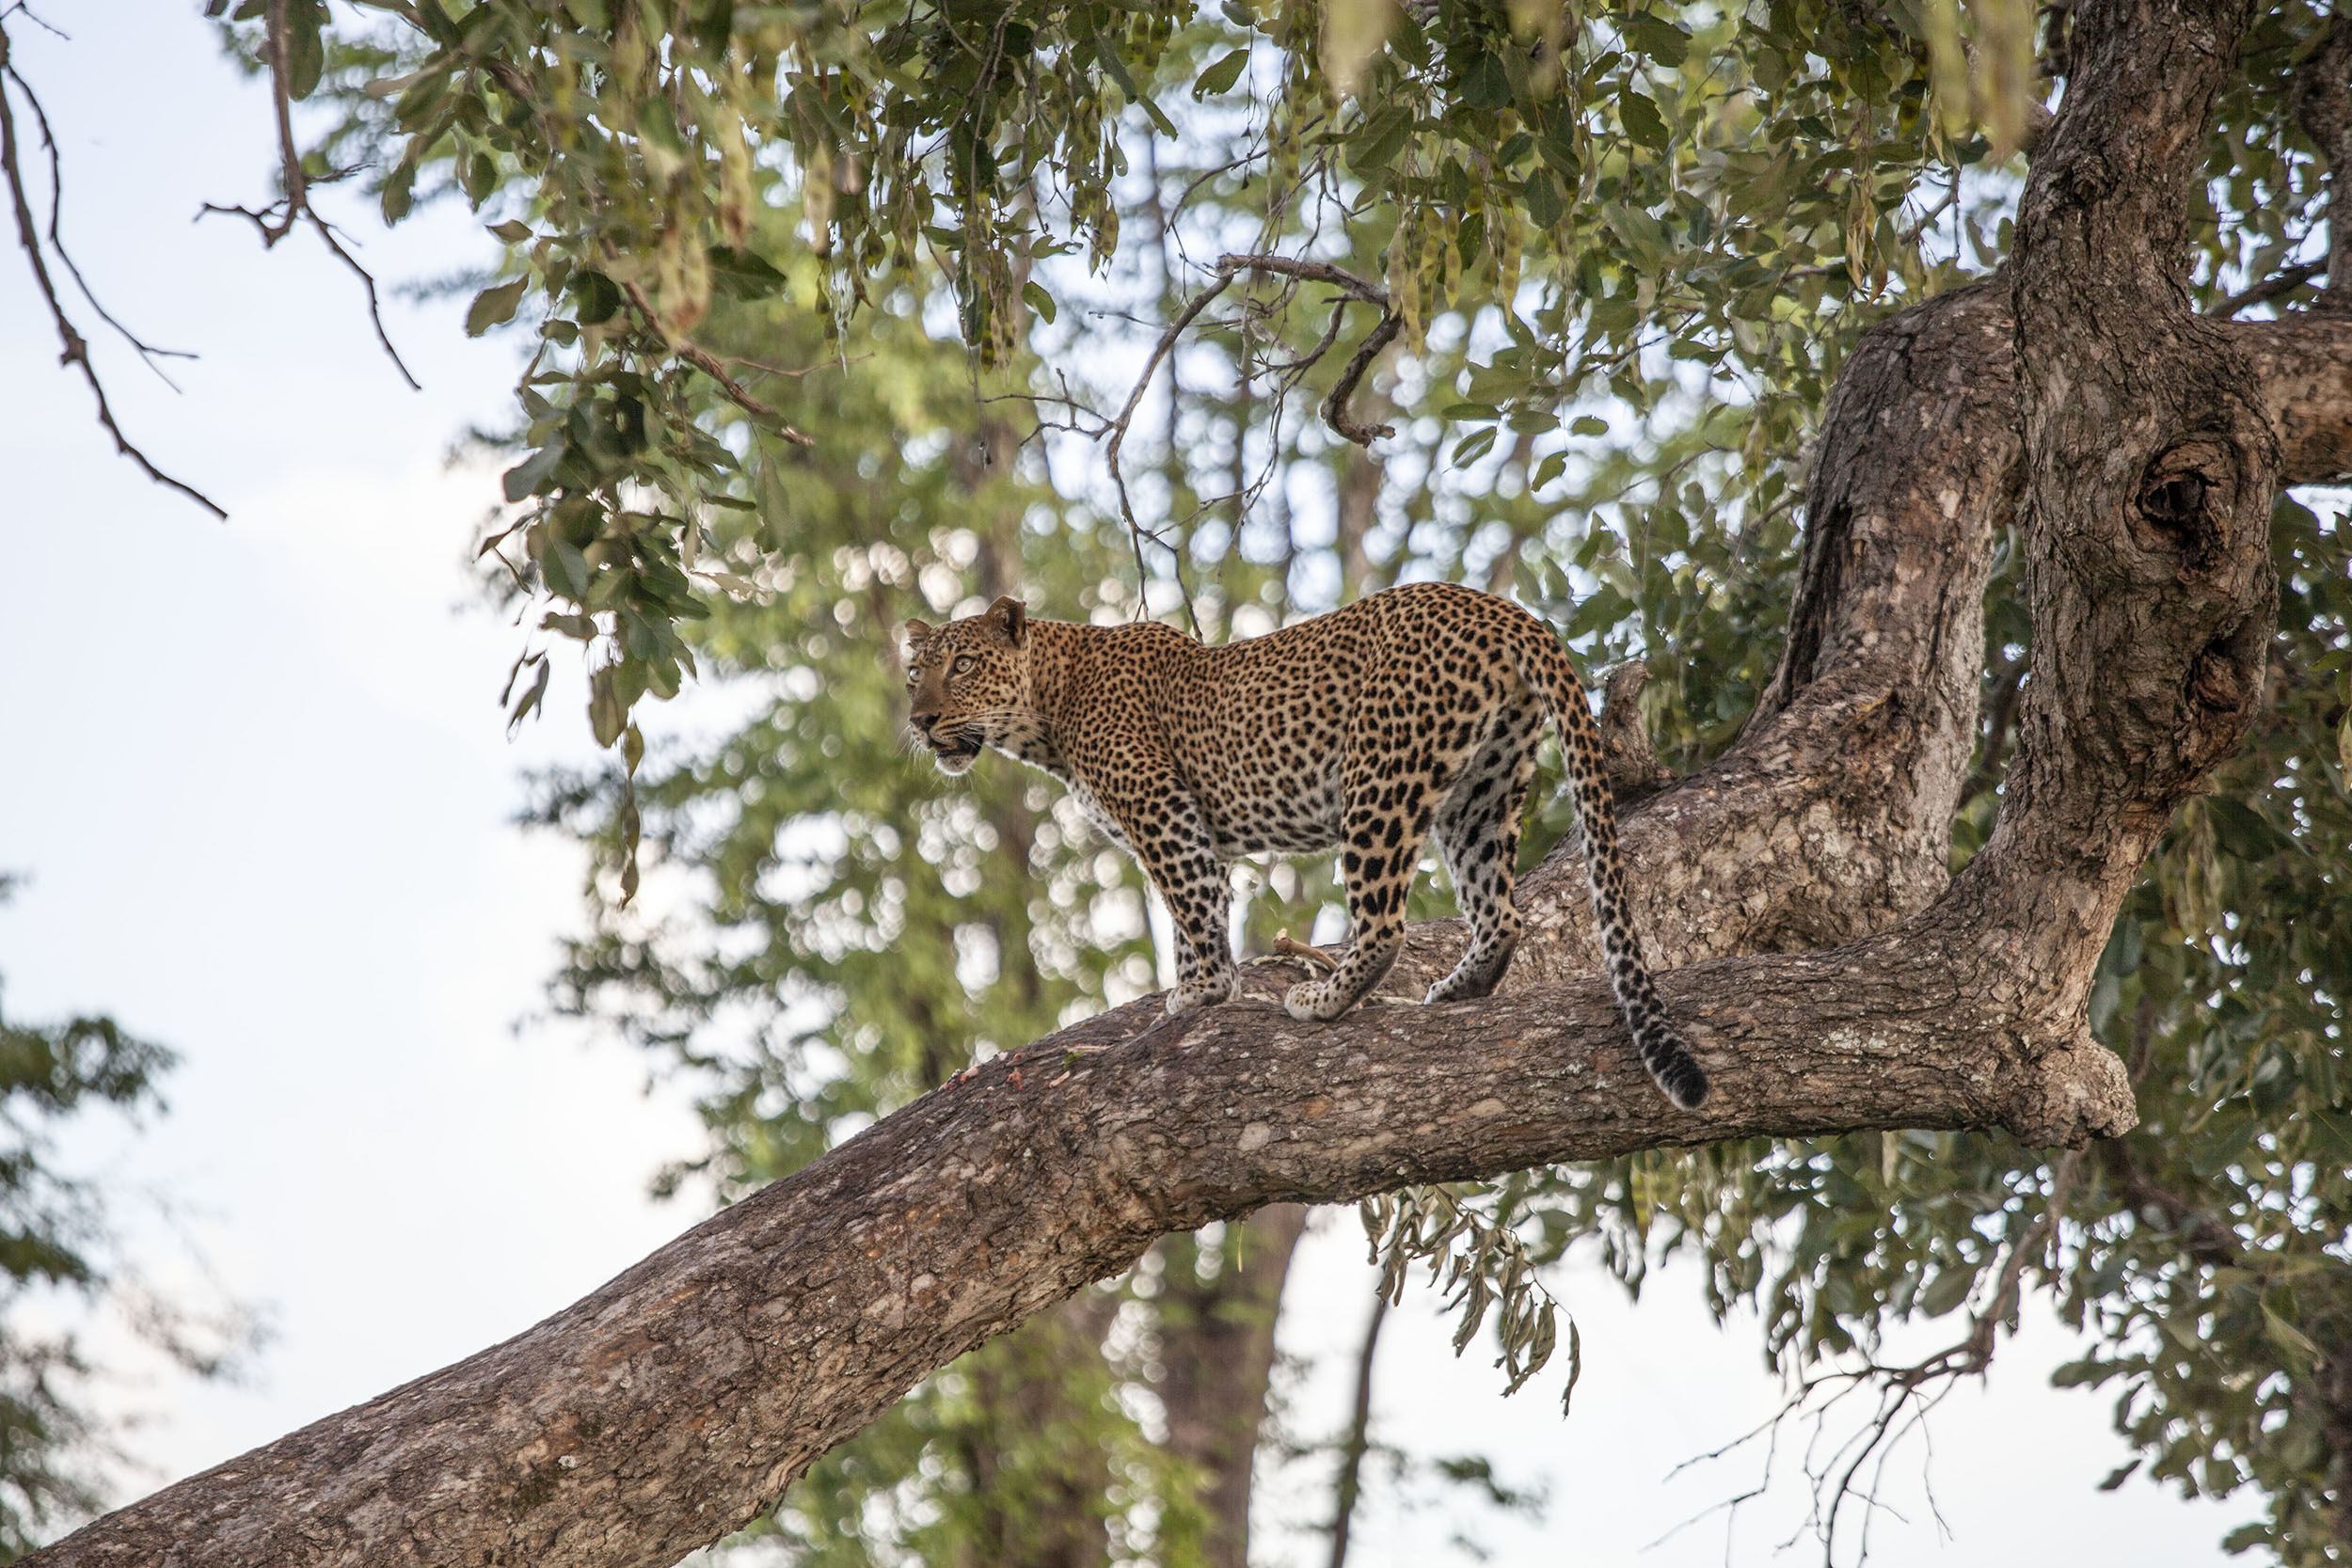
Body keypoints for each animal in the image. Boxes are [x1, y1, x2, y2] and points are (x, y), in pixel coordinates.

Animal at [903, 582, 1712, 1109]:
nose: (918, 719)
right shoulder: (1186, 826)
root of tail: (1499, 605)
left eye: (963, 665)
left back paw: (1323, 997)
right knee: (1501, 913)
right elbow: (1198, 910)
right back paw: (1456, 990)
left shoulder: (1164, 813)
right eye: (915, 673)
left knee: (1384, 922)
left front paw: (1200, 992)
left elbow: (1193, 907)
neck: (1048, 708)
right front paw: (1198, 987)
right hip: (1483, 787)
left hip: (1380, 772)